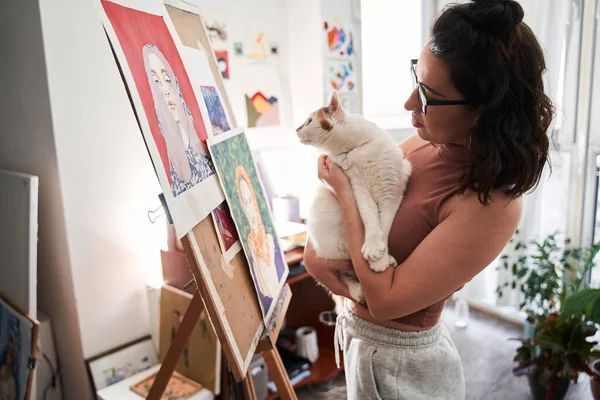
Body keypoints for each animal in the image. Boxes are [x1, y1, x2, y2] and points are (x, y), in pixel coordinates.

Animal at [296, 92, 410, 314]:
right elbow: (370, 219)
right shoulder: (358, 190)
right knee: (344, 276)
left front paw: (380, 258)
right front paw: (374, 247)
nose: (296, 129)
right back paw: (358, 290)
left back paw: (389, 261)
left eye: (309, 121)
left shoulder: (392, 192)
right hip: (332, 251)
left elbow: (384, 225)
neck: (354, 150)